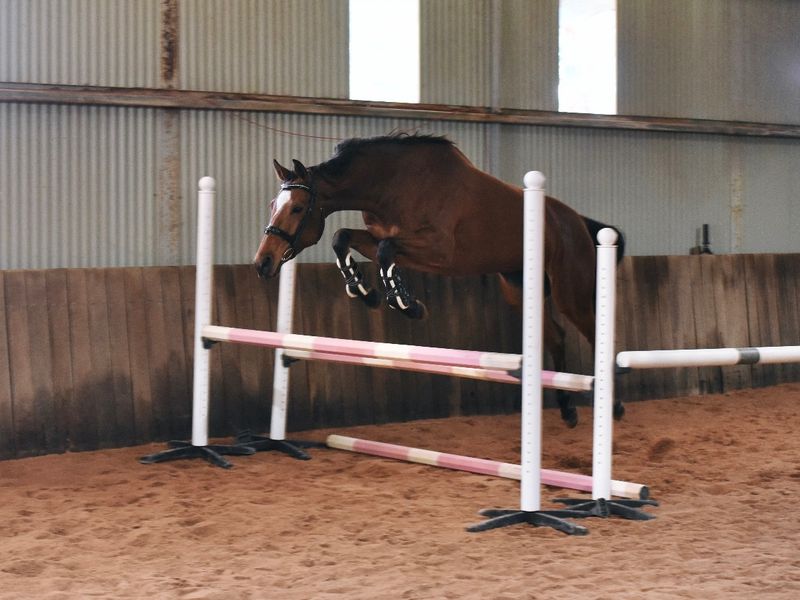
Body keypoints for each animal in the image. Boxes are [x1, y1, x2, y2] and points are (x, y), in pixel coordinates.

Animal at [253, 133, 625, 427]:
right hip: (519, 288)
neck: (392, 185)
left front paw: (406, 303)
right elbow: (343, 238)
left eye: (297, 208)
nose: (262, 262)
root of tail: (577, 220)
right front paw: (365, 291)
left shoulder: (437, 251)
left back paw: (615, 405)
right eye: (272, 204)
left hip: (569, 291)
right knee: (557, 337)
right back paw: (567, 410)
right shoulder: (383, 238)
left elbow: (386, 252)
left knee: (594, 334)